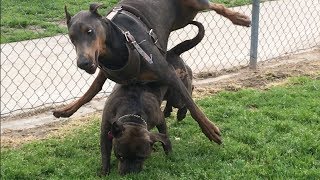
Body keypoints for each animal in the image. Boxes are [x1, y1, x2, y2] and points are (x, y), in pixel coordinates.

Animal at [53, 0, 251, 143]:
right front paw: (66, 110)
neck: (119, 44)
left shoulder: (168, 73)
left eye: (90, 31)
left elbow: (192, 104)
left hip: (194, 4)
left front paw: (210, 130)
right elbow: (91, 91)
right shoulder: (106, 71)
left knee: (214, 5)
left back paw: (239, 18)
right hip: (183, 19)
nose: (83, 63)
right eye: (72, 38)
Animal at [101, 20, 204, 175]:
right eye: (120, 156)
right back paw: (168, 110)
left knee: (188, 95)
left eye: (141, 158)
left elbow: (164, 135)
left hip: (178, 96)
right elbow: (105, 152)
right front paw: (104, 171)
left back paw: (181, 113)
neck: (133, 115)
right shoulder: (106, 128)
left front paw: (169, 153)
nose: (129, 174)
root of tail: (172, 52)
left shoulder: (159, 120)